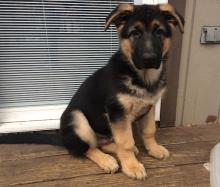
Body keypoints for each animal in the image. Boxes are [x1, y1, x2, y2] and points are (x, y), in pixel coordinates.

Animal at [60, 3, 184, 180]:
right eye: (135, 33)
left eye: (159, 32)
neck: (142, 78)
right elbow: (126, 142)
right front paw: (132, 166)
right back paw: (107, 160)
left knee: (103, 144)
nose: (149, 59)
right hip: (77, 118)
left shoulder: (149, 108)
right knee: (87, 148)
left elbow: (149, 131)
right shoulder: (117, 112)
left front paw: (154, 149)